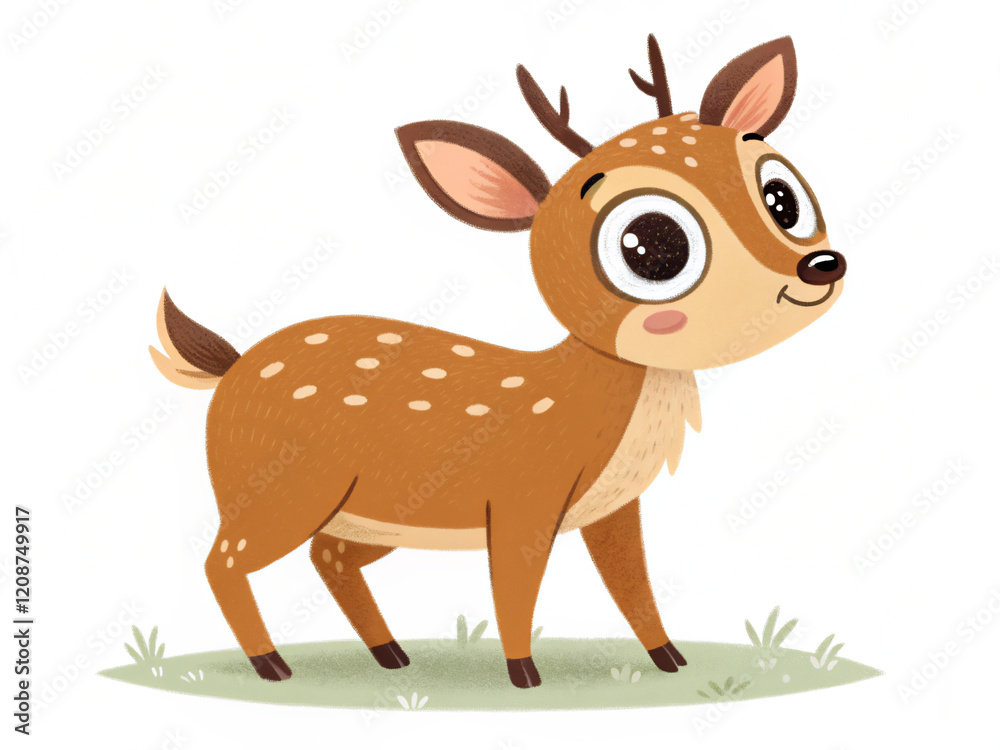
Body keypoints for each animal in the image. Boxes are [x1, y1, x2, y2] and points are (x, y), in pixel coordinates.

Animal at [149, 34, 845, 689]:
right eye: (652, 245)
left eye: (781, 198)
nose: (819, 266)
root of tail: (228, 367)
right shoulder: (520, 498)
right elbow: (515, 586)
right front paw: (524, 675)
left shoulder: (614, 507)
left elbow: (633, 587)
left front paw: (668, 659)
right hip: (277, 487)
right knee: (221, 562)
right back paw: (272, 665)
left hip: (378, 516)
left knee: (329, 558)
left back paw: (390, 655)